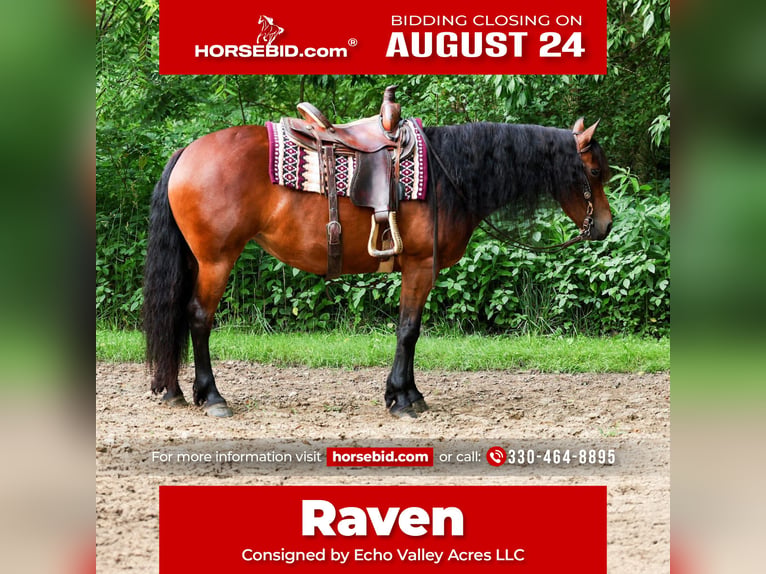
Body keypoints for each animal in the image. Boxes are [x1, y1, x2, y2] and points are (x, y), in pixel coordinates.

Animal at [142, 115, 612, 418]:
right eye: (593, 171)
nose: (605, 225)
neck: (448, 176)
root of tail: (187, 151)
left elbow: (407, 331)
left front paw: (407, 394)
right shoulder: (422, 266)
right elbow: (409, 330)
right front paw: (403, 400)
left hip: (197, 261)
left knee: (178, 315)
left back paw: (174, 391)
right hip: (216, 260)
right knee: (198, 318)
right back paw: (212, 397)